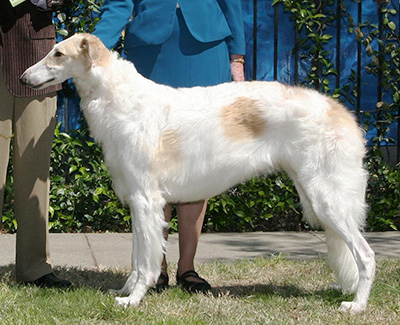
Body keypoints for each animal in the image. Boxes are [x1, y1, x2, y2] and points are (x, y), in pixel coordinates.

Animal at [20, 33, 376, 312]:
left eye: (58, 53)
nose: (23, 79)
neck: (120, 98)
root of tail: (340, 111)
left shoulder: (146, 200)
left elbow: (145, 262)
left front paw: (133, 300)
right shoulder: (137, 201)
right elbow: (136, 260)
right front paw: (123, 291)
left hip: (327, 200)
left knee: (367, 256)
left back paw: (356, 305)